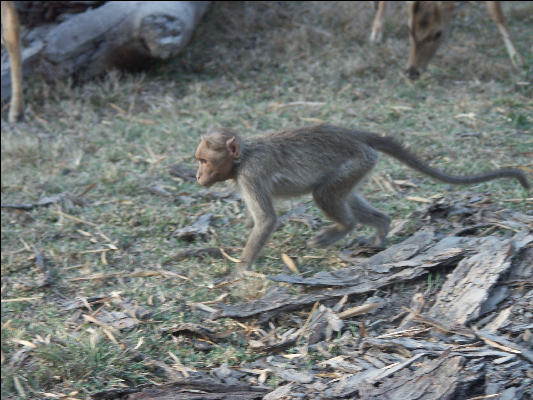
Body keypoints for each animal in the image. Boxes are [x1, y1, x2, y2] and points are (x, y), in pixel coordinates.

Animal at [195, 125, 528, 274]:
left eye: (205, 161)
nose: (198, 176)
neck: (244, 157)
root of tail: (351, 134)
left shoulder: (251, 174)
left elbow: (266, 220)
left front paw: (241, 270)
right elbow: (255, 221)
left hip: (355, 162)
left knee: (325, 194)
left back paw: (343, 228)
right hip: (359, 166)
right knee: (345, 195)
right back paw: (381, 229)